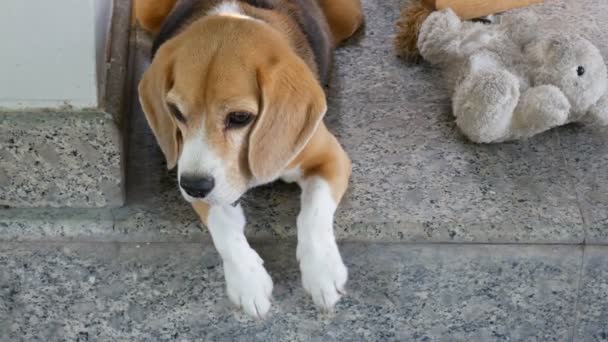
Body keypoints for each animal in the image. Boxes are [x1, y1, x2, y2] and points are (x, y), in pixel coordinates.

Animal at [134, 0, 360, 318]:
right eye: (176, 112)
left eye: (240, 117)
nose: (193, 187)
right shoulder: (200, 179)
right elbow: (223, 228)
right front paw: (247, 279)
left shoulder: (330, 157)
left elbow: (314, 212)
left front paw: (322, 270)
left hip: (349, 17)